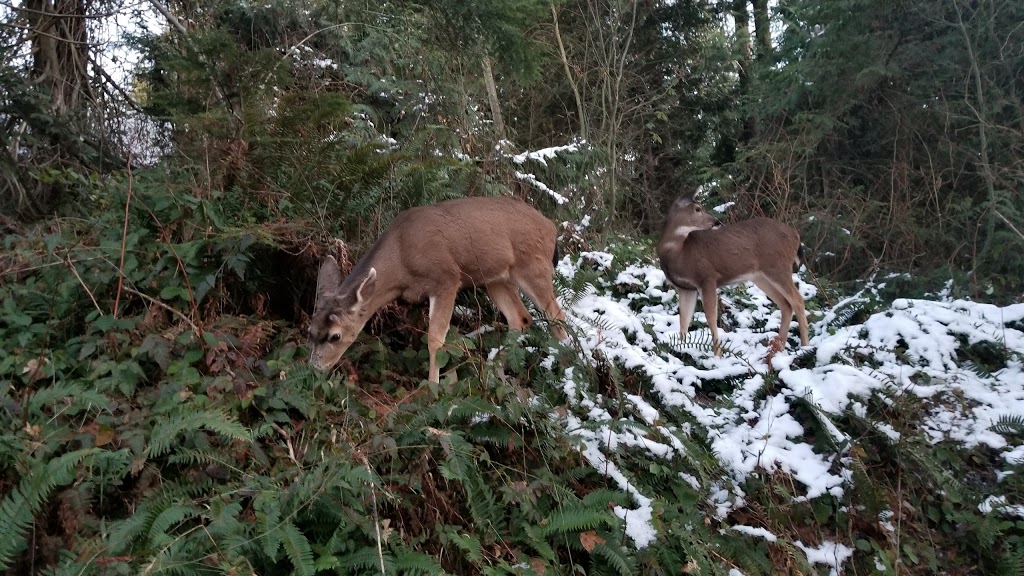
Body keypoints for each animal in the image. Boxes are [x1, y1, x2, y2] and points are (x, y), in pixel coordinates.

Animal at [659, 196, 811, 354]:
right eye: (697, 209)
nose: (716, 221)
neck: (680, 253)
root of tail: (796, 235)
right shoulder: (685, 288)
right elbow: (683, 319)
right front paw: (680, 349)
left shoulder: (707, 277)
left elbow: (711, 318)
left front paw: (717, 354)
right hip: (760, 276)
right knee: (785, 305)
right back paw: (779, 347)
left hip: (778, 267)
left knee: (798, 300)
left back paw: (805, 346)